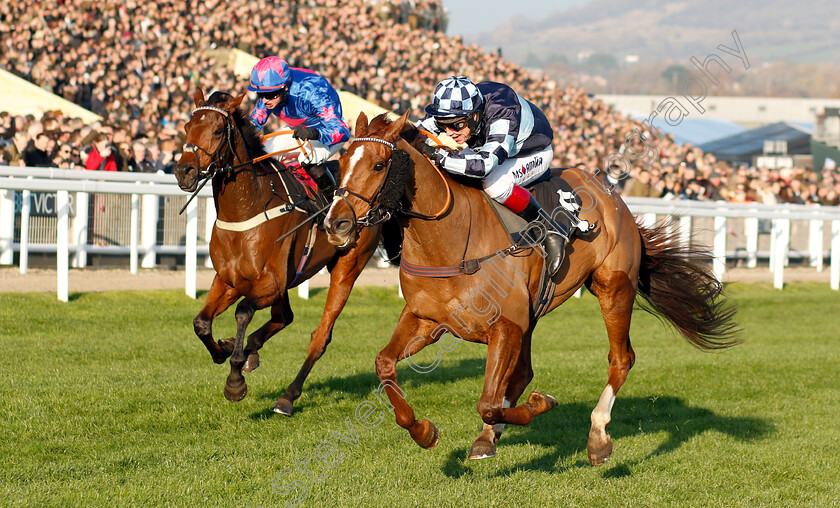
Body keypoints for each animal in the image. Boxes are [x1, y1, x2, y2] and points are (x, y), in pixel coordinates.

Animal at [176, 90, 382, 416]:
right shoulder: (230, 279)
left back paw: (286, 397)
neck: (246, 208)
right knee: (284, 317)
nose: (184, 171)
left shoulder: (269, 282)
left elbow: (243, 312)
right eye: (187, 126)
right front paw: (224, 350)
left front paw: (235, 380)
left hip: (347, 266)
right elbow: (201, 322)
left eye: (218, 130)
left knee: (320, 335)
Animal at [322, 110, 736, 464]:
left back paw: (598, 437)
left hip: (613, 287)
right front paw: (424, 431)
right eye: (341, 163)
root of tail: (614, 196)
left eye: (379, 164)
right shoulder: (428, 320)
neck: (448, 240)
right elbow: (385, 365)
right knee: (522, 373)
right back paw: (489, 436)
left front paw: (541, 405)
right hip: (534, 312)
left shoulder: (505, 325)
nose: (336, 224)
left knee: (621, 359)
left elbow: (489, 402)